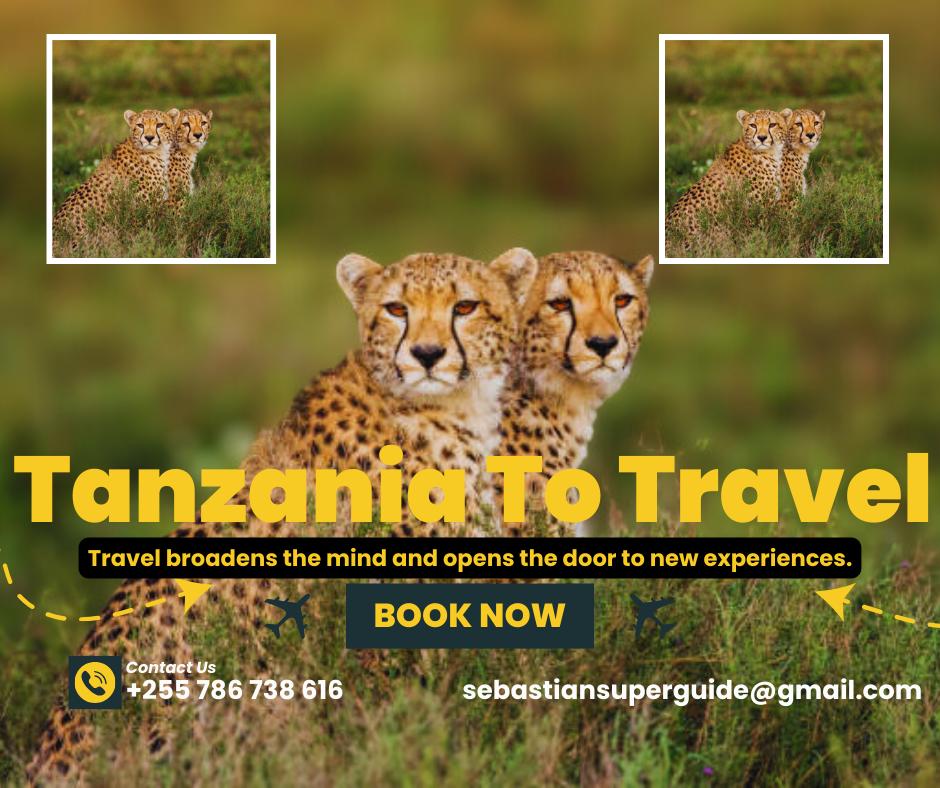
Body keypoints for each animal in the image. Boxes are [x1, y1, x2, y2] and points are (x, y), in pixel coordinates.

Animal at [52, 109, 178, 256]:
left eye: (160, 125)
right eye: (140, 125)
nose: (149, 138)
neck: (155, 152)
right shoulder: (138, 210)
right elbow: (143, 237)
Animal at [665, 108, 788, 253]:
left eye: (772, 125)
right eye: (753, 125)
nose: (761, 138)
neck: (768, 153)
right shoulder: (753, 209)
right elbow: (758, 236)